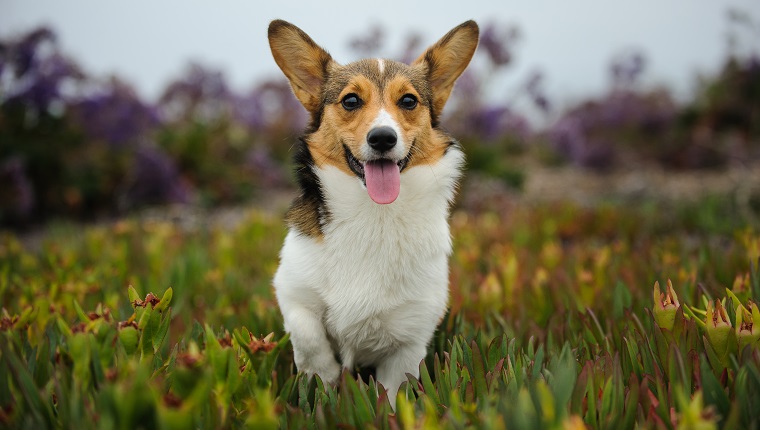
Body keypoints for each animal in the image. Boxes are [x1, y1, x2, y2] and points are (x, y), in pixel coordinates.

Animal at [268, 18, 478, 406]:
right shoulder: (292, 292)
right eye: (351, 100)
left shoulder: (410, 337)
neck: (374, 214)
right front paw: (325, 382)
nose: (382, 138)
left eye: (408, 100)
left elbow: (393, 392)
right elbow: (309, 338)